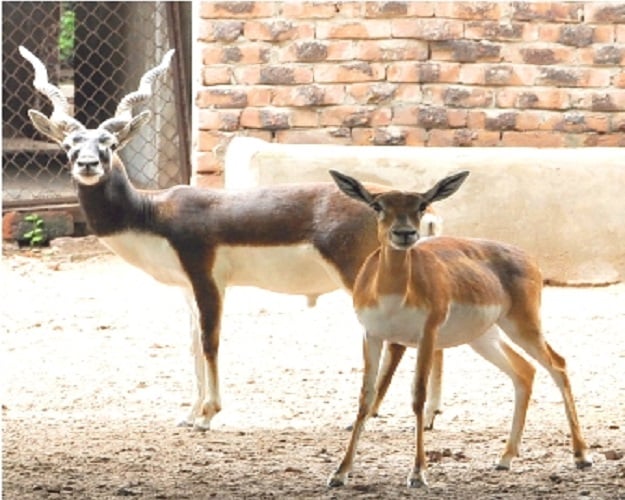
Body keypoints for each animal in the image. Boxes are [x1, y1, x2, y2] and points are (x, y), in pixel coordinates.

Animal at [19, 45, 448, 432]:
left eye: (109, 144)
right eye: (68, 145)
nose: (88, 165)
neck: (152, 213)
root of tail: (418, 212)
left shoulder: (208, 279)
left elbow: (210, 341)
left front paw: (209, 415)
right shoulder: (186, 288)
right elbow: (193, 344)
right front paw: (190, 414)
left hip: (362, 277)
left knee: (394, 340)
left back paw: (368, 414)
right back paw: (427, 417)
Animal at [326, 171, 588, 488]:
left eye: (421, 204)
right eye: (377, 205)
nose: (404, 233)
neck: (392, 295)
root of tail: (528, 257)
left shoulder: (427, 335)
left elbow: (418, 397)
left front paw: (418, 473)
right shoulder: (372, 335)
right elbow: (365, 398)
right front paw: (339, 473)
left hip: (523, 325)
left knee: (557, 364)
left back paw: (581, 456)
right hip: (484, 337)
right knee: (525, 371)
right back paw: (505, 459)